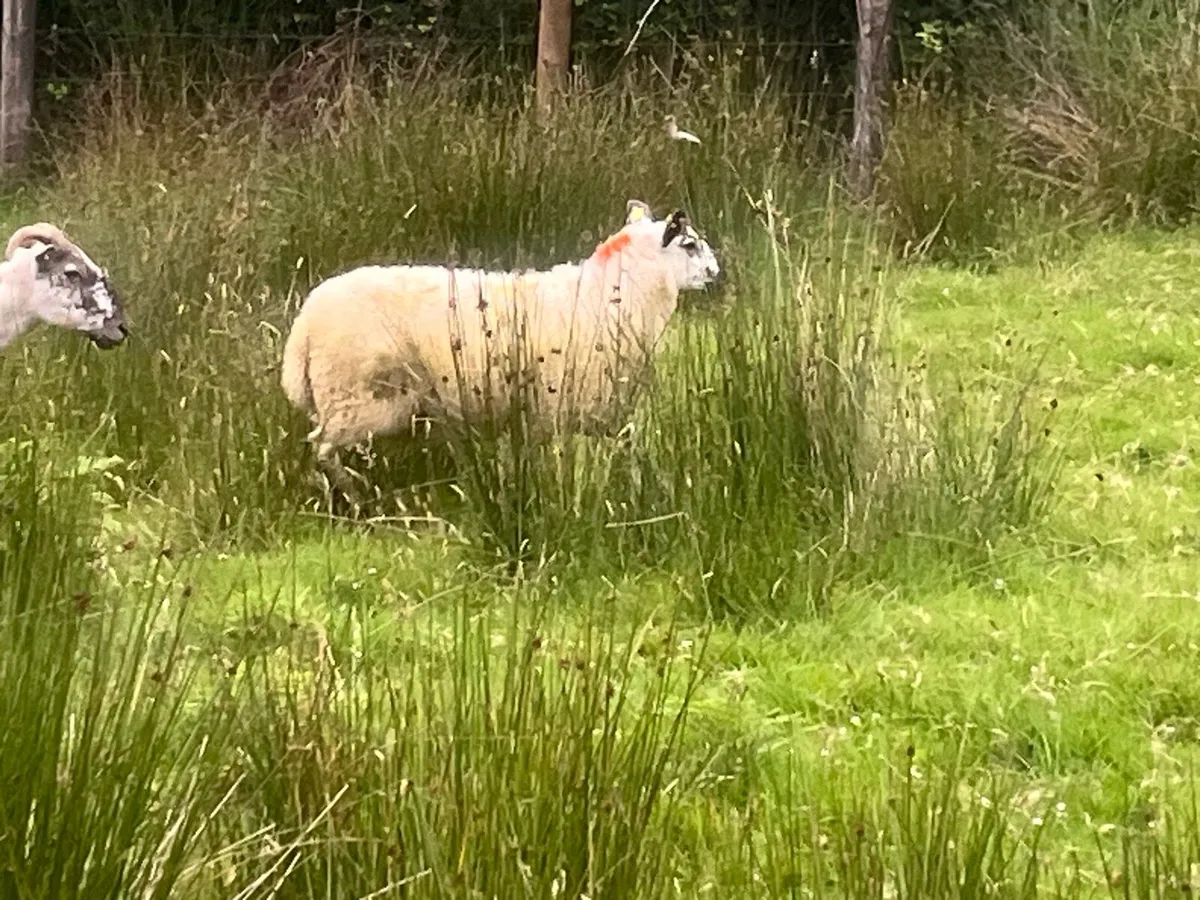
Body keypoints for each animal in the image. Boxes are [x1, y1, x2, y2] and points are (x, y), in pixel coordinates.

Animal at [280, 198, 722, 500]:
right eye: (689, 245)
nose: (717, 273)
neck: (614, 292)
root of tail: (303, 329)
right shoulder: (561, 409)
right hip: (363, 399)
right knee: (322, 447)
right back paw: (357, 497)